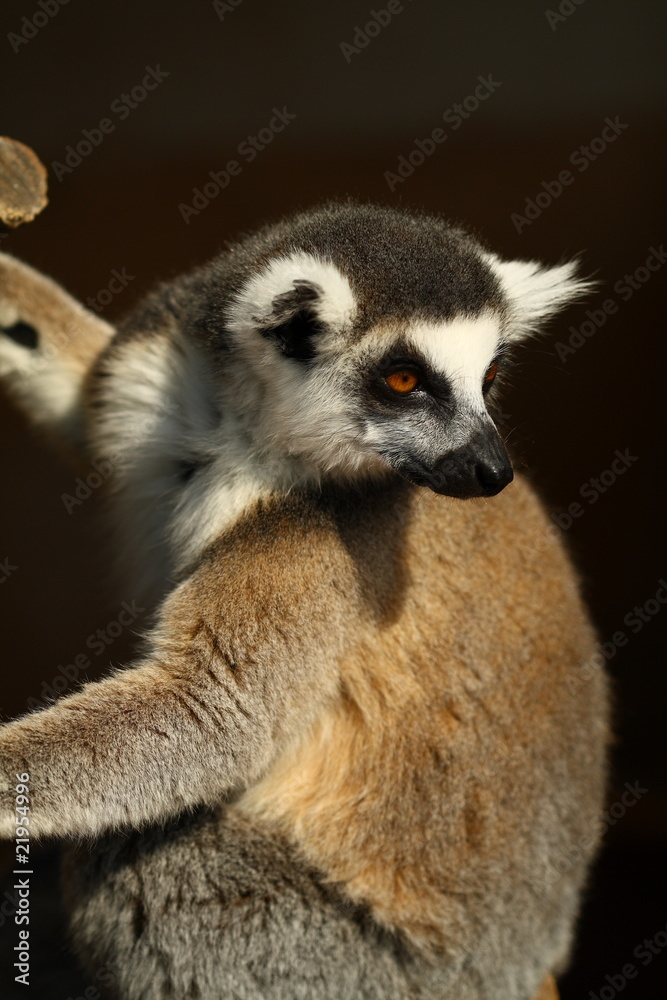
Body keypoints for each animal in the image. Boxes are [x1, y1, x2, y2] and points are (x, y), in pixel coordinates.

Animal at [0, 203, 609, 1000]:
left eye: (490, 374)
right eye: (404, 379)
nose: (489, 469)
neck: (244, 440)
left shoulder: (330, 541)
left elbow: (212, 713)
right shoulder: (156, 376)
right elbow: (79, 396)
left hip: (350, 966)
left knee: (144, 870)